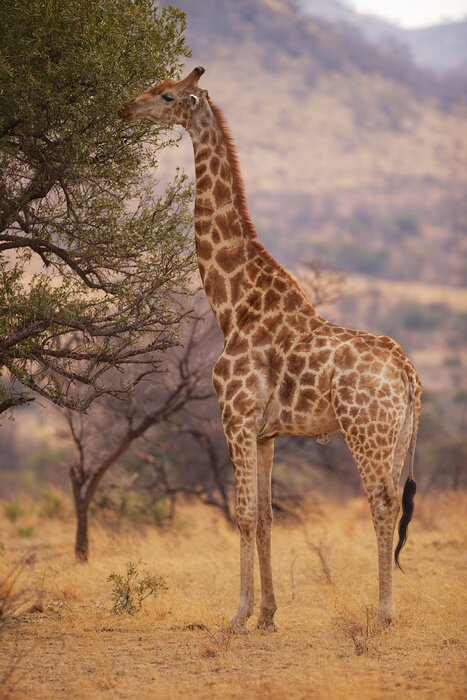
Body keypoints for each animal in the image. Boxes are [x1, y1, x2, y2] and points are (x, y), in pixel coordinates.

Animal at [120, 67, 422, 632]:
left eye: (168, 95)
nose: (128, 108)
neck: (232, 302)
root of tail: (410, 376)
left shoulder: (234, 417)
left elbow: (240, 514)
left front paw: (237, 615)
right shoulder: (266, 432)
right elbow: (264, 516)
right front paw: (267, 614)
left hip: (366, 431)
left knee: (382, 504)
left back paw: (384, 614)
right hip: (399, 437)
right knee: (395, 504)